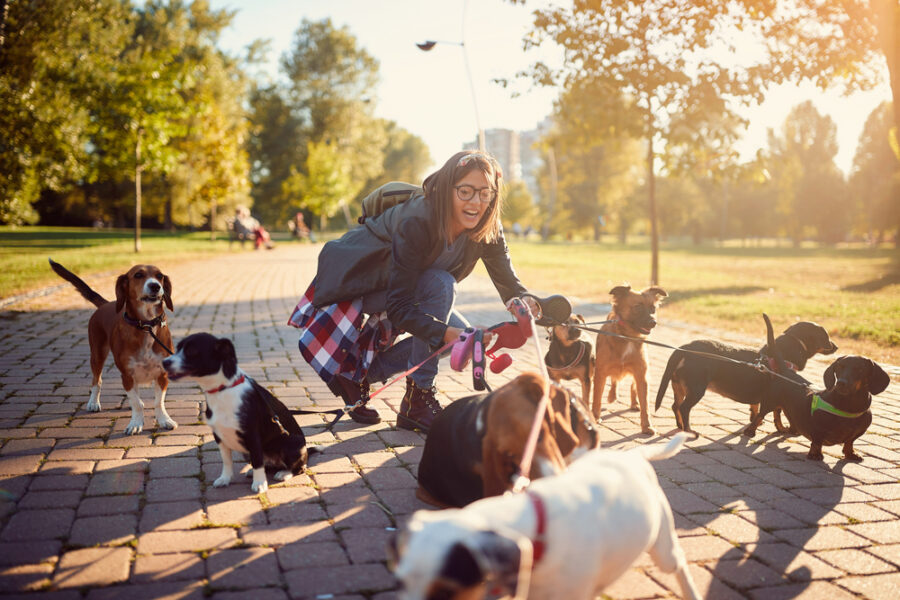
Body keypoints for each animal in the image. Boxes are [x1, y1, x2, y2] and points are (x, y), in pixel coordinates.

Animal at [162, 332, 312, 492]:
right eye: (177, 348)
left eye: (191, 351)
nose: (164, 362)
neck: (222, 390)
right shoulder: (219, 437)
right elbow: (227, 461)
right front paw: (225, 479)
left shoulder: (253, 437)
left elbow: (257, 461)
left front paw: (259, 483)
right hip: (247, 453)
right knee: (267, 465)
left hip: (293, 445)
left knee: (299, 467)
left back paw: (284, 473)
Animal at [652, 318, 836, 436]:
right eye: (826, 337)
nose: (836, 346)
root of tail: (684, 349)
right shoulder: (779, 391)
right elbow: (777, 413)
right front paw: (782, 428)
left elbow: (756, 408)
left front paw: (756, 422)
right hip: (696, 389)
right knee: (684, 408)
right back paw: (689, 430)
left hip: (678, 386)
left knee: (675, 406)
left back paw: (680, 426)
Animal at [748, 316, 888, 462]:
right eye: (839, 367)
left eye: (860, 369)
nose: (841, 383)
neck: (849, 405)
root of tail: (786, 371)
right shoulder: (817, 429)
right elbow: (817, 441)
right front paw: (815, 454)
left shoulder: (857, 433)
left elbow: (849, 442)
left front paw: (851, 453)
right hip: (770, 401)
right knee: (760, 415)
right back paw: (750, 430)